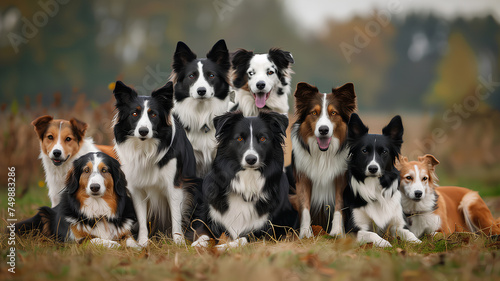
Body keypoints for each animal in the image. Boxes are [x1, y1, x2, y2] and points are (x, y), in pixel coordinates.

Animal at [189, 110, 294, 248]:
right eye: (239, 138)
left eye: (263, 138)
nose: (251, 159)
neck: (247, 181)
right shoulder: (207, 215)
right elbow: (203, 232)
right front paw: (199, 244)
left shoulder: (267, 231)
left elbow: (241, 239)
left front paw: (221, 247)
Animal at [342, 112, 420, 246]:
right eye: (364, 151)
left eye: (384, 152)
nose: (373, 168)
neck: (373, 186)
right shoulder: (352, 230)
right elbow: (371, 234)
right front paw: (385, 243)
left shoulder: (398, 224)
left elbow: (408, 233)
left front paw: (418, 241)